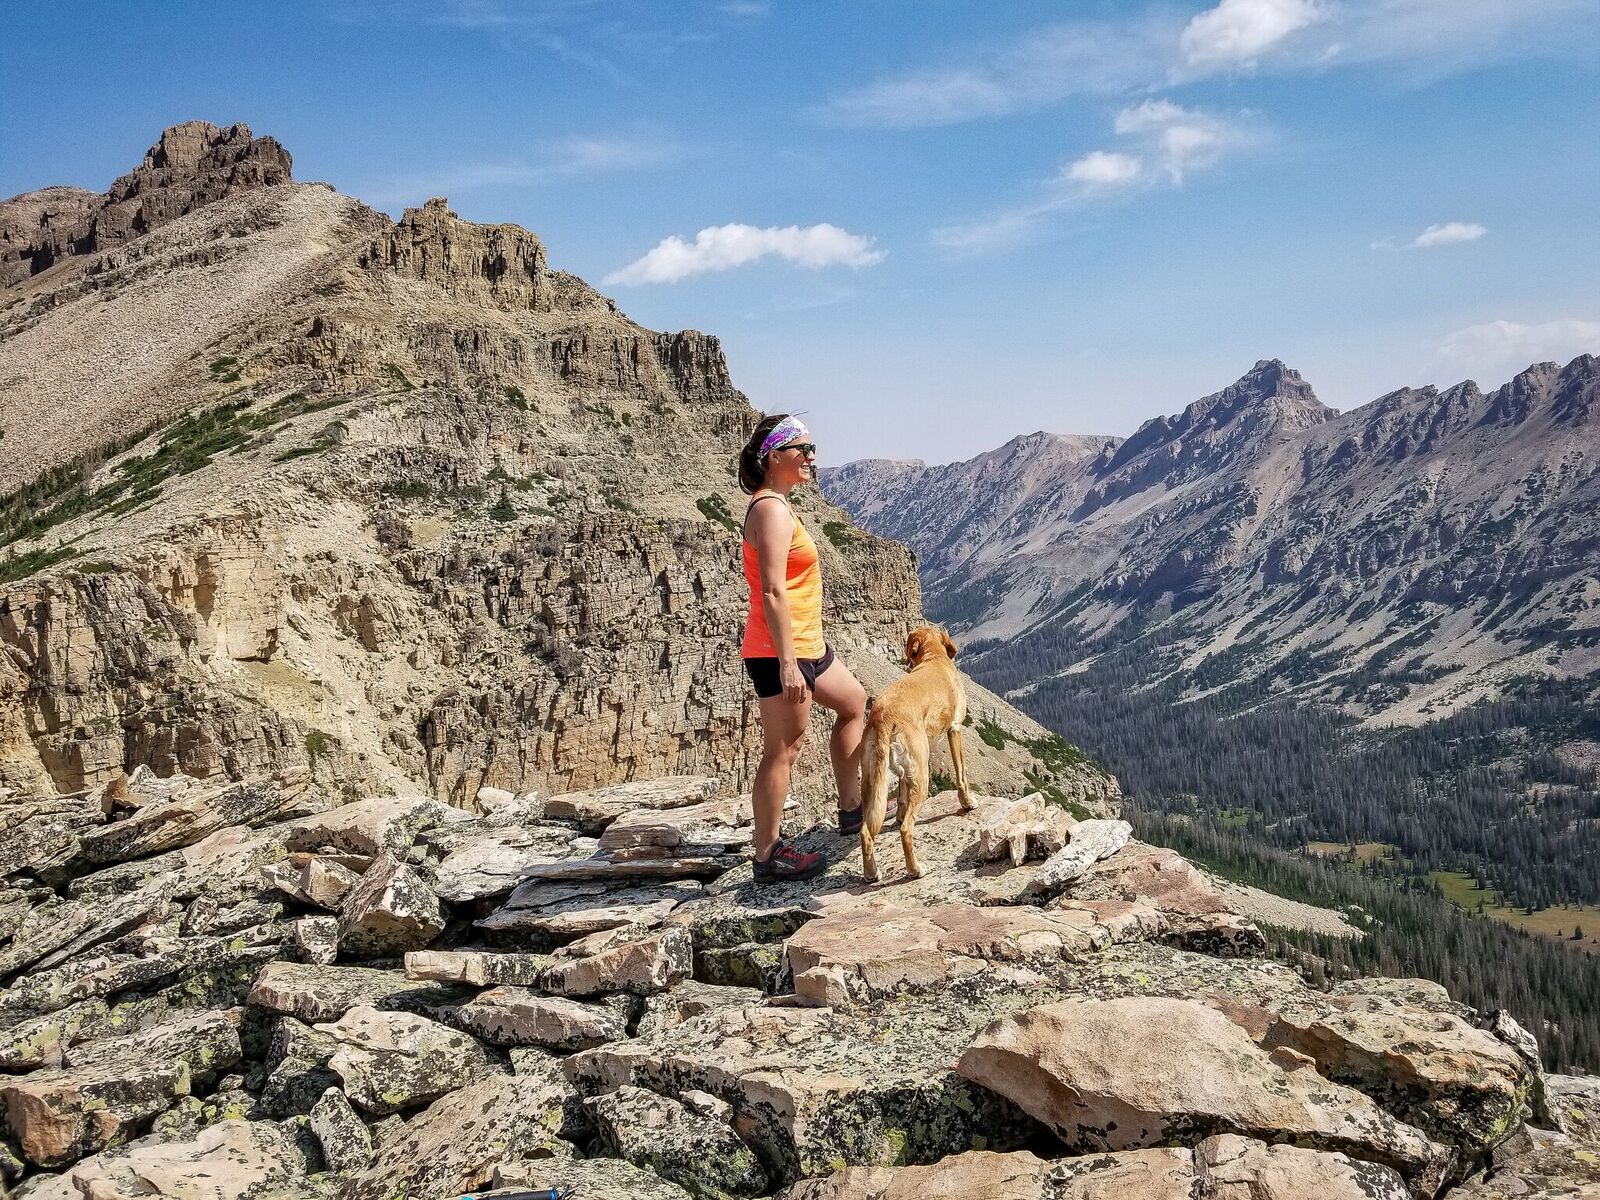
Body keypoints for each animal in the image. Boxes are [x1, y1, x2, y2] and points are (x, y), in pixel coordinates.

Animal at [864, 630, 972, 883]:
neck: (934, 656)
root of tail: (884, 718)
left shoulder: (904, 772)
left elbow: (901, 798)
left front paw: (898, 814)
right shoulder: (955, 729)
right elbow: (961, 773)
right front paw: (968, 802)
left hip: (872, 780)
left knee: (865, 831)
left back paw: (871, 873)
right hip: (922, 777)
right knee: (906, 831)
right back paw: (915, 869)